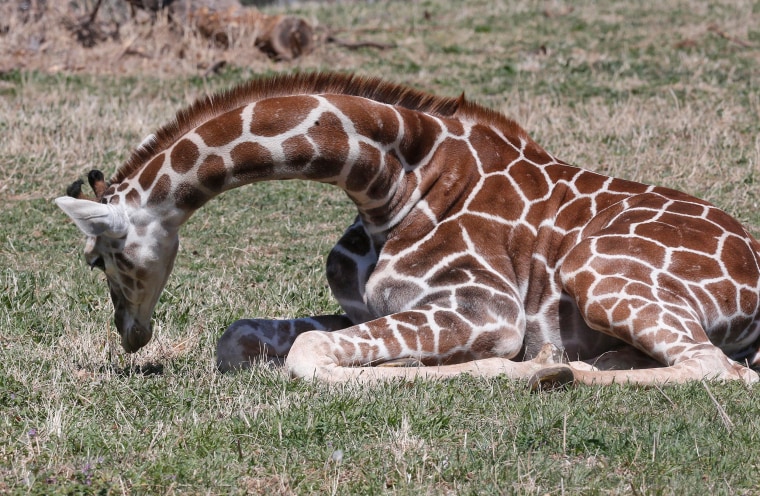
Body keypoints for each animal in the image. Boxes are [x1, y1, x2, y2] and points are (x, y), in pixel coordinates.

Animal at [56, 71, 760, 386]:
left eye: (98, 259)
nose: (131, 334)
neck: (387, 184)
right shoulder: (366, 305)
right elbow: (238, 338)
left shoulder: (485, 310)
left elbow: (309, 356)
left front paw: (511, 366)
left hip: (599, 272)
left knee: (717, 368)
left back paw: (556, 370)